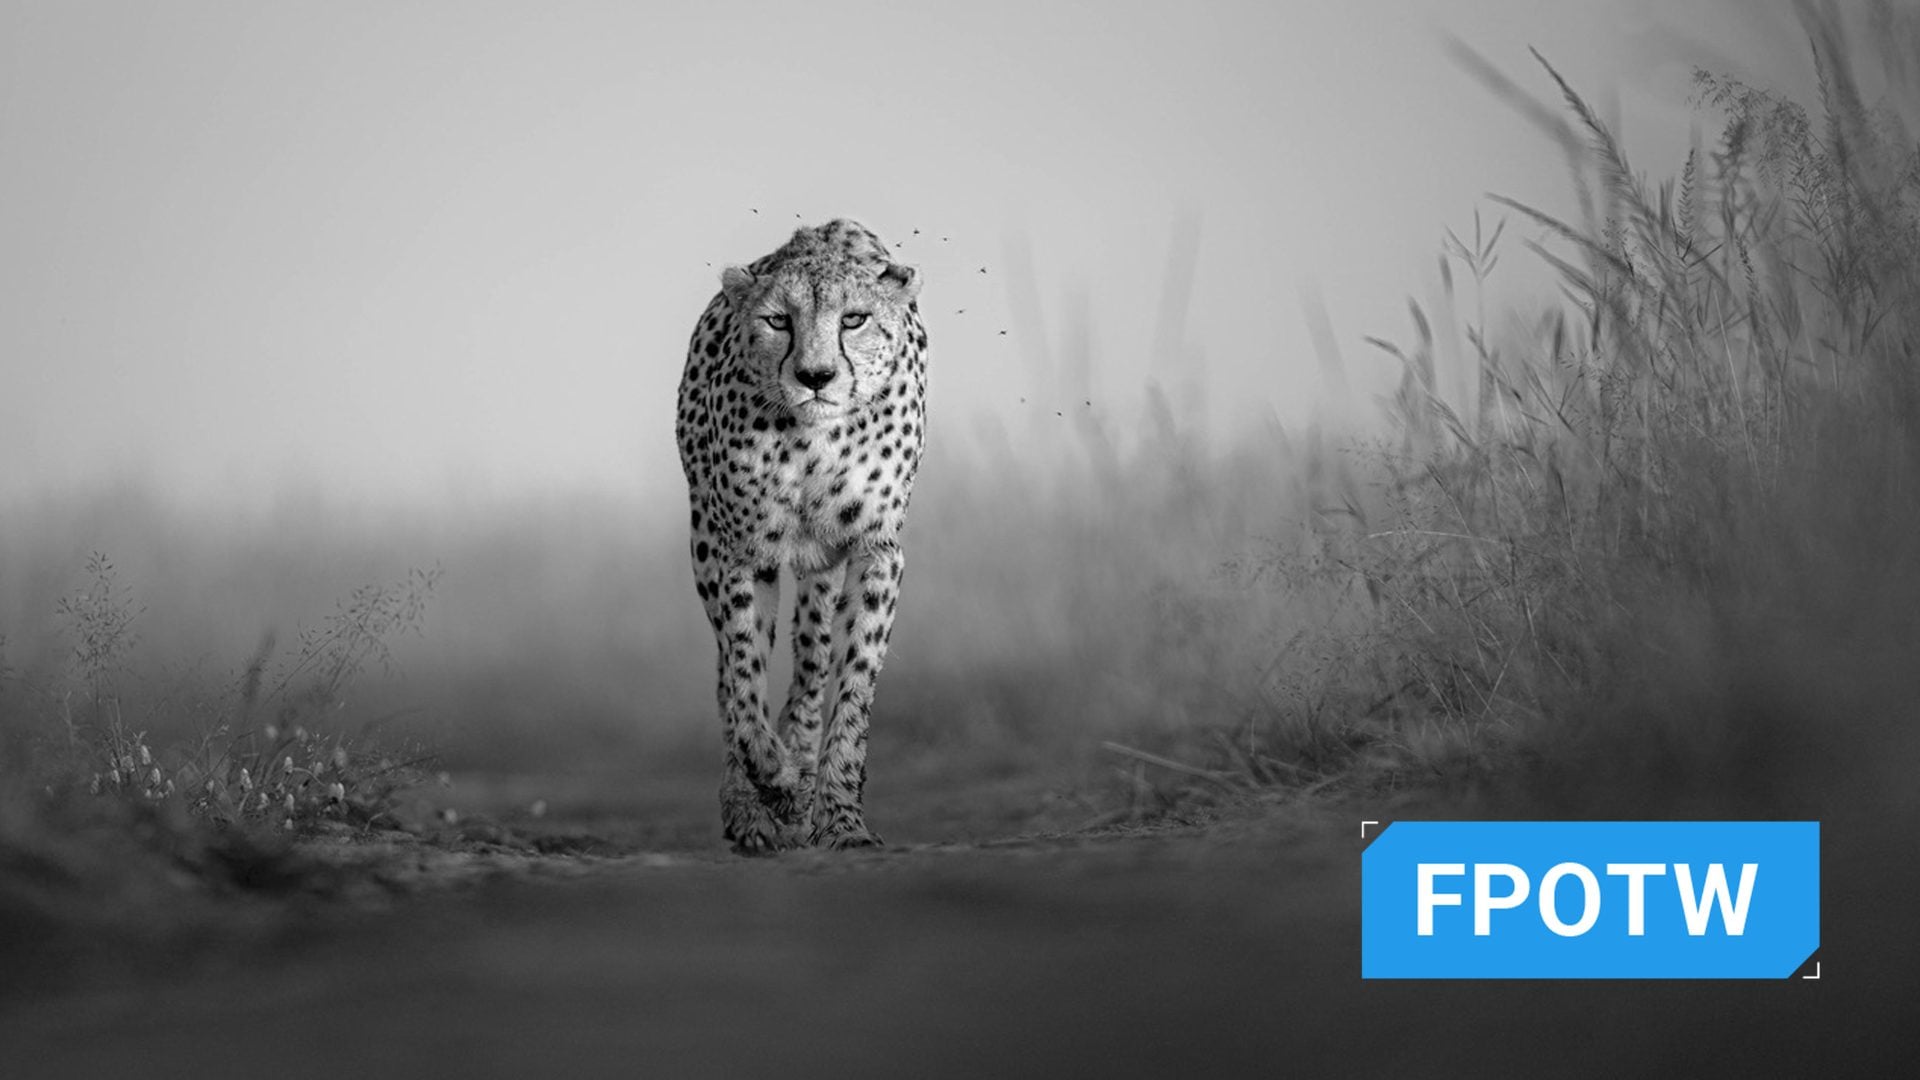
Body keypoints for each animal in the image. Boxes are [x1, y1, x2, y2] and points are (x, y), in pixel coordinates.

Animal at [675, 219, 928, 854]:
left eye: (854, 319)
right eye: (777, 321)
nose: (816, 377)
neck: (815, 440)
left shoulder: (875, 551)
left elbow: (854, 686)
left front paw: (839, 815)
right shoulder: (740, 551)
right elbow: (743, 670)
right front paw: (774, 782)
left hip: (821, 564)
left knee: (812, 659)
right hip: (705, 545)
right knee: (729, 672)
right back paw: (750, 806)